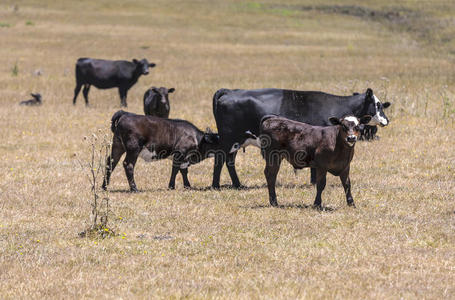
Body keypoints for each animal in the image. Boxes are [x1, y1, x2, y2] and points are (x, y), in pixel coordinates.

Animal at [212, 88, 390, 189]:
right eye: (377, 105)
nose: (386, 120)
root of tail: (230, 92)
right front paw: (314, 182)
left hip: (237, 141)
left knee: (229, 161)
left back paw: (237, 185)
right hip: (229, 139)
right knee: (220, 159)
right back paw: (216, 185)